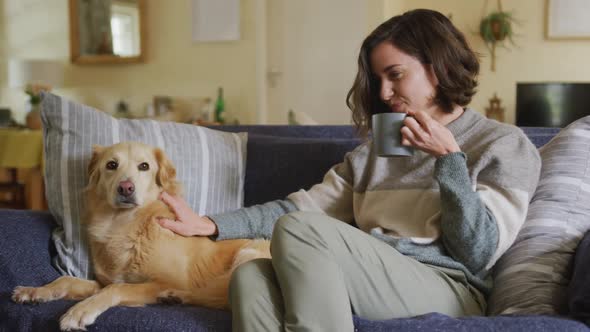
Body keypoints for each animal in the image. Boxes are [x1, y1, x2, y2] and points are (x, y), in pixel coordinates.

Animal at [11, 141, 270, 330]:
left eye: (144, 166)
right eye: (111, 165)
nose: (126, 188)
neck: (123, 225)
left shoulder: (159, 281)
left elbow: (117, 289)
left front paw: (79, 311)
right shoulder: (103, 281)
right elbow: (68, 280)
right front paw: (35, 291)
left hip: (248, 253)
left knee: (220, 298)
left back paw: (175, 295)